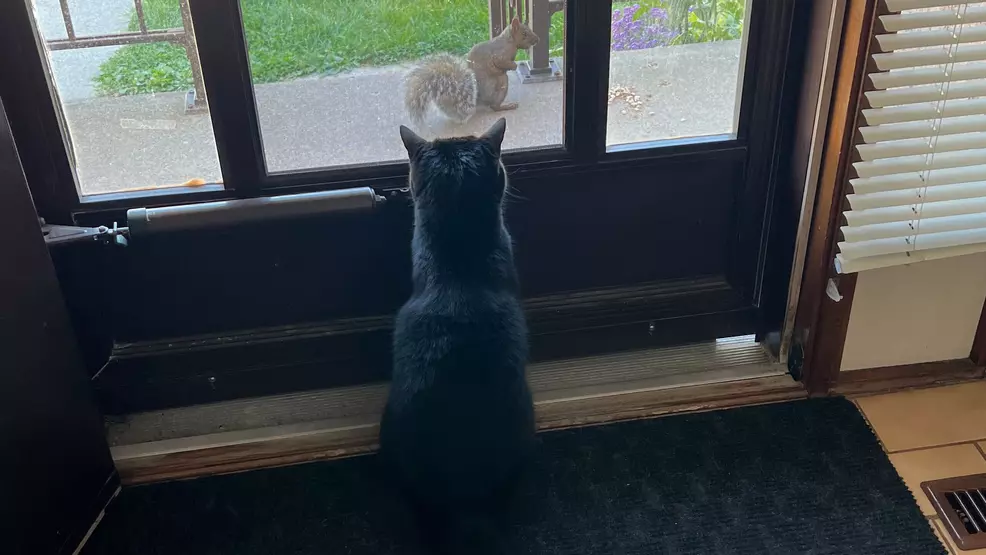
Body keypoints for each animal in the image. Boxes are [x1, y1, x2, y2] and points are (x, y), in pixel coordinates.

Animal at [404, 17, 540, 125]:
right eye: (524, 33)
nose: (537, 39)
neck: (509, 41)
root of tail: (476, 100)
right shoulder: (500, 55)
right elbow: (501, 62)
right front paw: (513, 66)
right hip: (501, 83)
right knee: (494, 106)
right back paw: (508, 106)